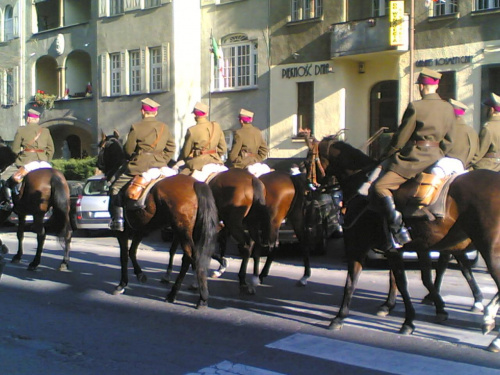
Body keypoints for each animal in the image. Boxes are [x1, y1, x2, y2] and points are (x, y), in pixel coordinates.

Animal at [97, 132, 219, 308]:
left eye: (100, 146)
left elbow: (124, 256)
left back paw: (198, 296)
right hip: (190, 231)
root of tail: (196, 183)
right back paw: (179, 293)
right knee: (189, 259)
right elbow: (132, 251)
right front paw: (140, 275)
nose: (96, 164)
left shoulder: (123, 232)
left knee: (192, 257)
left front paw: (122, 284)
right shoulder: (140, 229)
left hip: (182, 231)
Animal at [306, 138, 500, 352]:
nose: (307, 190)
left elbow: (381, 282)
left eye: (307, 161)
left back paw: (490, 327)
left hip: (490, 252)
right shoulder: (403, 249)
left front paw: (408, 321)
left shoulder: (363, 247)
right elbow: (414, 279)